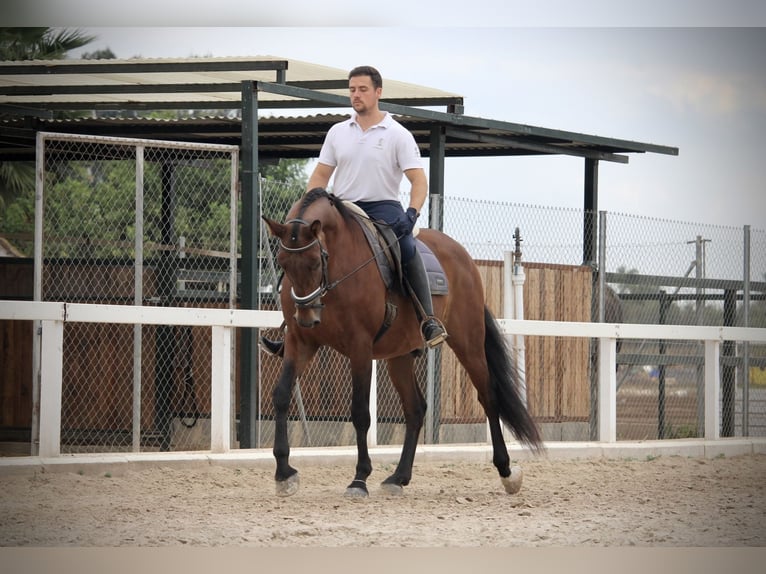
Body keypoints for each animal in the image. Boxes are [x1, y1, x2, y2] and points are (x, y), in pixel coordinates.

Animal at [262, 187, 543, 498]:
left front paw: (359, 478)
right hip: (399, 356)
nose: (307, 316)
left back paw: (506, 471)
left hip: (468, 343)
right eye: (283, 263)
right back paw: (399, 477)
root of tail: (462, 255)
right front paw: (284, 473)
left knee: (488, 397)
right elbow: (281, 395)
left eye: (314, 261)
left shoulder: (360, 347)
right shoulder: (300, 342)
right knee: (415, 409)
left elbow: (360, 412)